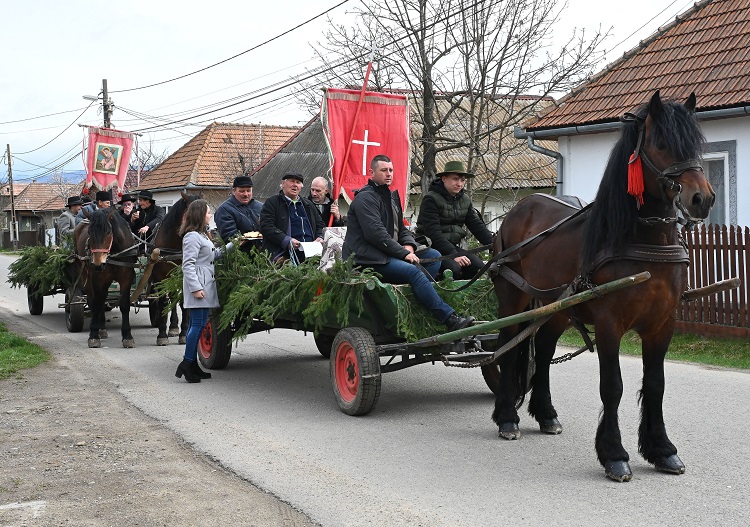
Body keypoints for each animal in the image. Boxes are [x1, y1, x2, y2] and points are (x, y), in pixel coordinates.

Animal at [74, 207, 139, 350]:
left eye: (108, 231)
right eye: (89, 232)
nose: (98, 264)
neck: (114, 253)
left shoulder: (126, 277)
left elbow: (124, 304)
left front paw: (127, 336)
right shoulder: (98, 279)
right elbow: (96, 303)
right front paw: (93, 335)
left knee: (102, 299)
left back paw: (102, 328)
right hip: (86, 275)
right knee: (94, 300)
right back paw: (99, 329)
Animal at [494, 92, 716, 482]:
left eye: (696, 144)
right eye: (661, 143)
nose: (701, 199)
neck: (644, 240)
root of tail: (520, 207)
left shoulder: (663, 324)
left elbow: (655, 385)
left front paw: (662, 450)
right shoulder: (610, 323)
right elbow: (613, 386)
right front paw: (614, 454)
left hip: (557, 309)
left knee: (544, 351)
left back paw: (546, 414)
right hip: (513, 298)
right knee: (508, 347)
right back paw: (507, 417)